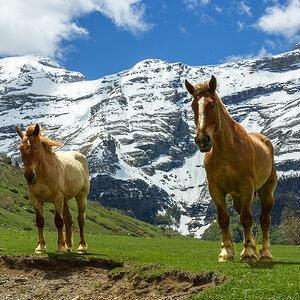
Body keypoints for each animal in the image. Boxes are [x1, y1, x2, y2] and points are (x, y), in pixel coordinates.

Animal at [16, 123, 89, 253]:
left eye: (36, 148)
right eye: (20, 149)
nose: (29, 176)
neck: (44, 174)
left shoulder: (57, 198)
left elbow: (58, 221)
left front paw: (60, 247)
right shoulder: (35, 199)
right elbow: (40, 221)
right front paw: (41, 247)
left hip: (81, 196)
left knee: (81, 219)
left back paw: (81, 247)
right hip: (65, 200)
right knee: (68, 219)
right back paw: (68, 246)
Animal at [185, 75, 276, 262]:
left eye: (212, 105)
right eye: (193, 107)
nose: (202, 140)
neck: (226, 150)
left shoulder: (247, 186)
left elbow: (247, 219)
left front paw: (248, 254)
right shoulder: (215, 189)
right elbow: (224, 219)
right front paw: (226, 252)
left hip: (266, 192)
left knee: (264, 220)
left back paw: (265, 253)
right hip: (237, 198)